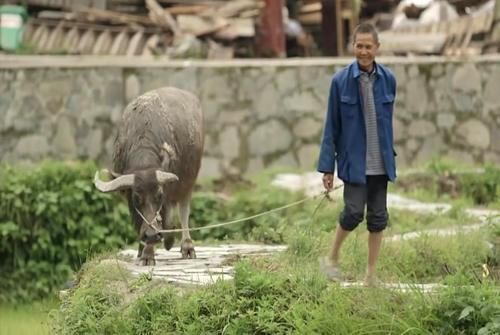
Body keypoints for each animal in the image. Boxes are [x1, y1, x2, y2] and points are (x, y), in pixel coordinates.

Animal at [94, 86, 203, 266]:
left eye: (159, 195)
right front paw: (143, 250)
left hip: (189, 180)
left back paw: (186, 246)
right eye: (136, 197)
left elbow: (164, 216)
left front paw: (150, 253)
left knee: (183, 209)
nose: (152, 235)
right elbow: (140, 221)